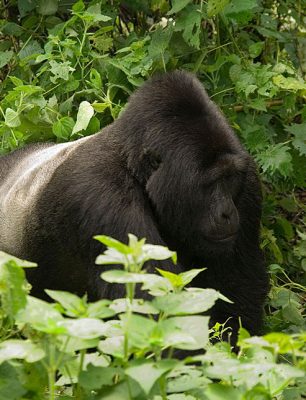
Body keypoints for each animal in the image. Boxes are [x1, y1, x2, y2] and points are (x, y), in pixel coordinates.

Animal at [0, 70, 268, 340]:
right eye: (211, 183)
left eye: (229, 179)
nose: (227, 213)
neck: (131, 164)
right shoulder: (102, 200)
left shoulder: (248, 182)